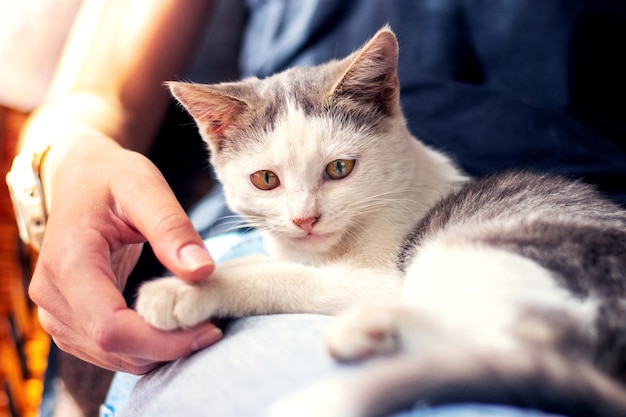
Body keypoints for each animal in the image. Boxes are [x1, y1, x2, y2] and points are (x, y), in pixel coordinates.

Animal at [135, 26, 624, 416]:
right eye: (265, 180)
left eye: (339, 169)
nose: (305, 219)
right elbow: (266, 262)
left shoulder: (380, 278)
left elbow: (283, 277)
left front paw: (182, 290)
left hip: (464, 255)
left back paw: (365, 331)